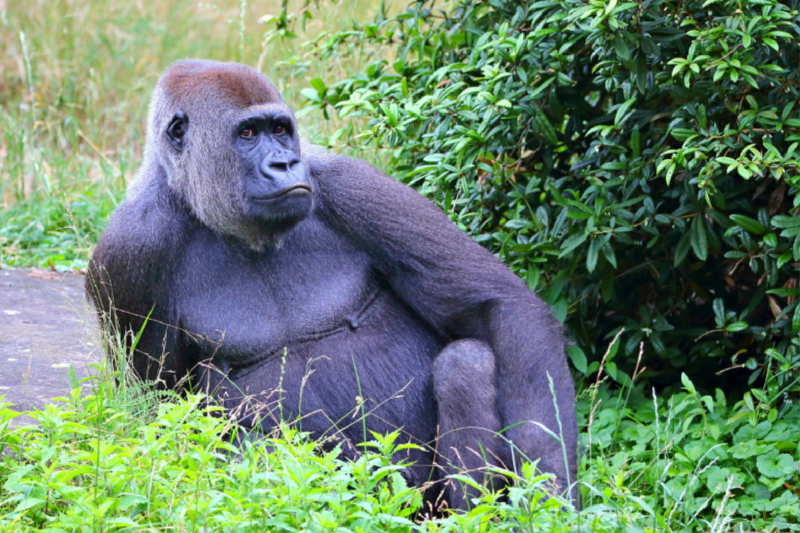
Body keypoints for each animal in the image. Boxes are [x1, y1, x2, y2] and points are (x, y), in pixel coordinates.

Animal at [86, 59, 576, 512]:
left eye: (280, 130)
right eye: (247, 134)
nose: (285, 163)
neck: (193, 199)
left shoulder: (350, 183)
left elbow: (496, 305)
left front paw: (547, 491)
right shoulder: (130, 248)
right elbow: (160, 410)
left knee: (465, 363)